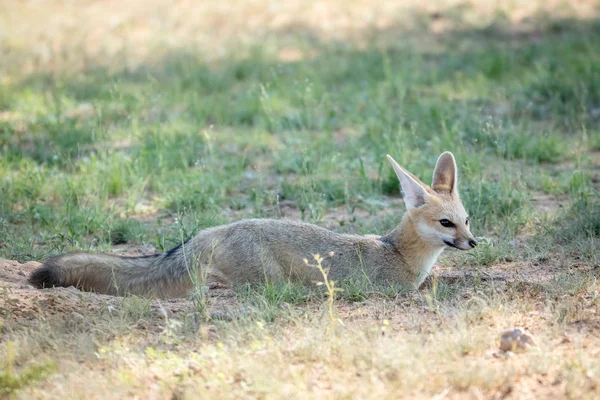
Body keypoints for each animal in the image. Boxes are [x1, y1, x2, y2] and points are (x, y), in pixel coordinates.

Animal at [29, 152, 478, 298]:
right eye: (446, 224)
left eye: (467, 220)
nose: (474, 243)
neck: (398, 252)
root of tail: (215, 229)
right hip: (270, 282)